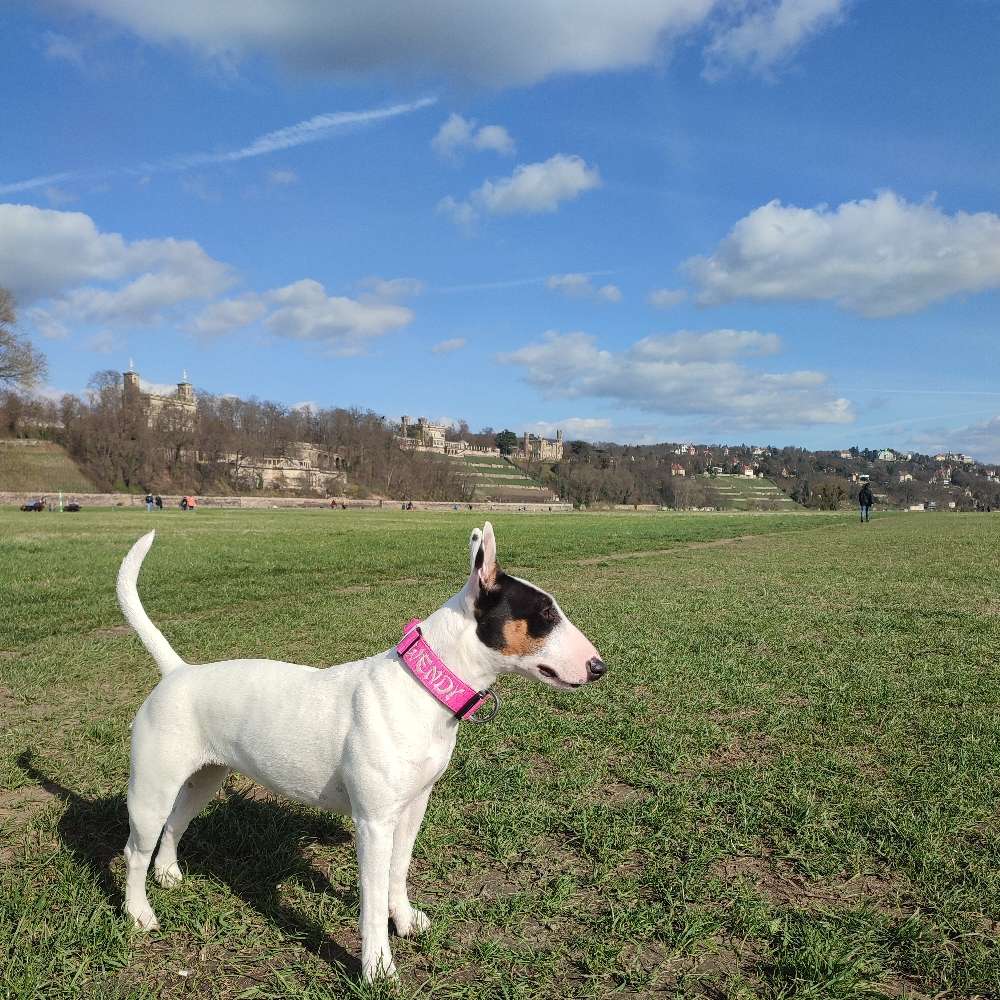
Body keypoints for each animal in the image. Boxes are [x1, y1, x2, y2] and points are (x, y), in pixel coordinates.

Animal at [114, 524, 604, 976]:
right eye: (545, 614)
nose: (598, 667)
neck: (421, 689)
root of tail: (178, 672)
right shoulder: (373, 824)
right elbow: (371, 897)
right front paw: (378, 967)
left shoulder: (412, 808)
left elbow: (398, 871)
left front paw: (404, 920)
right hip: (151, 789)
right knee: (135, 849)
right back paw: (139, 912)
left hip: (205, 778)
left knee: (175, 823)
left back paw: (168, 874)